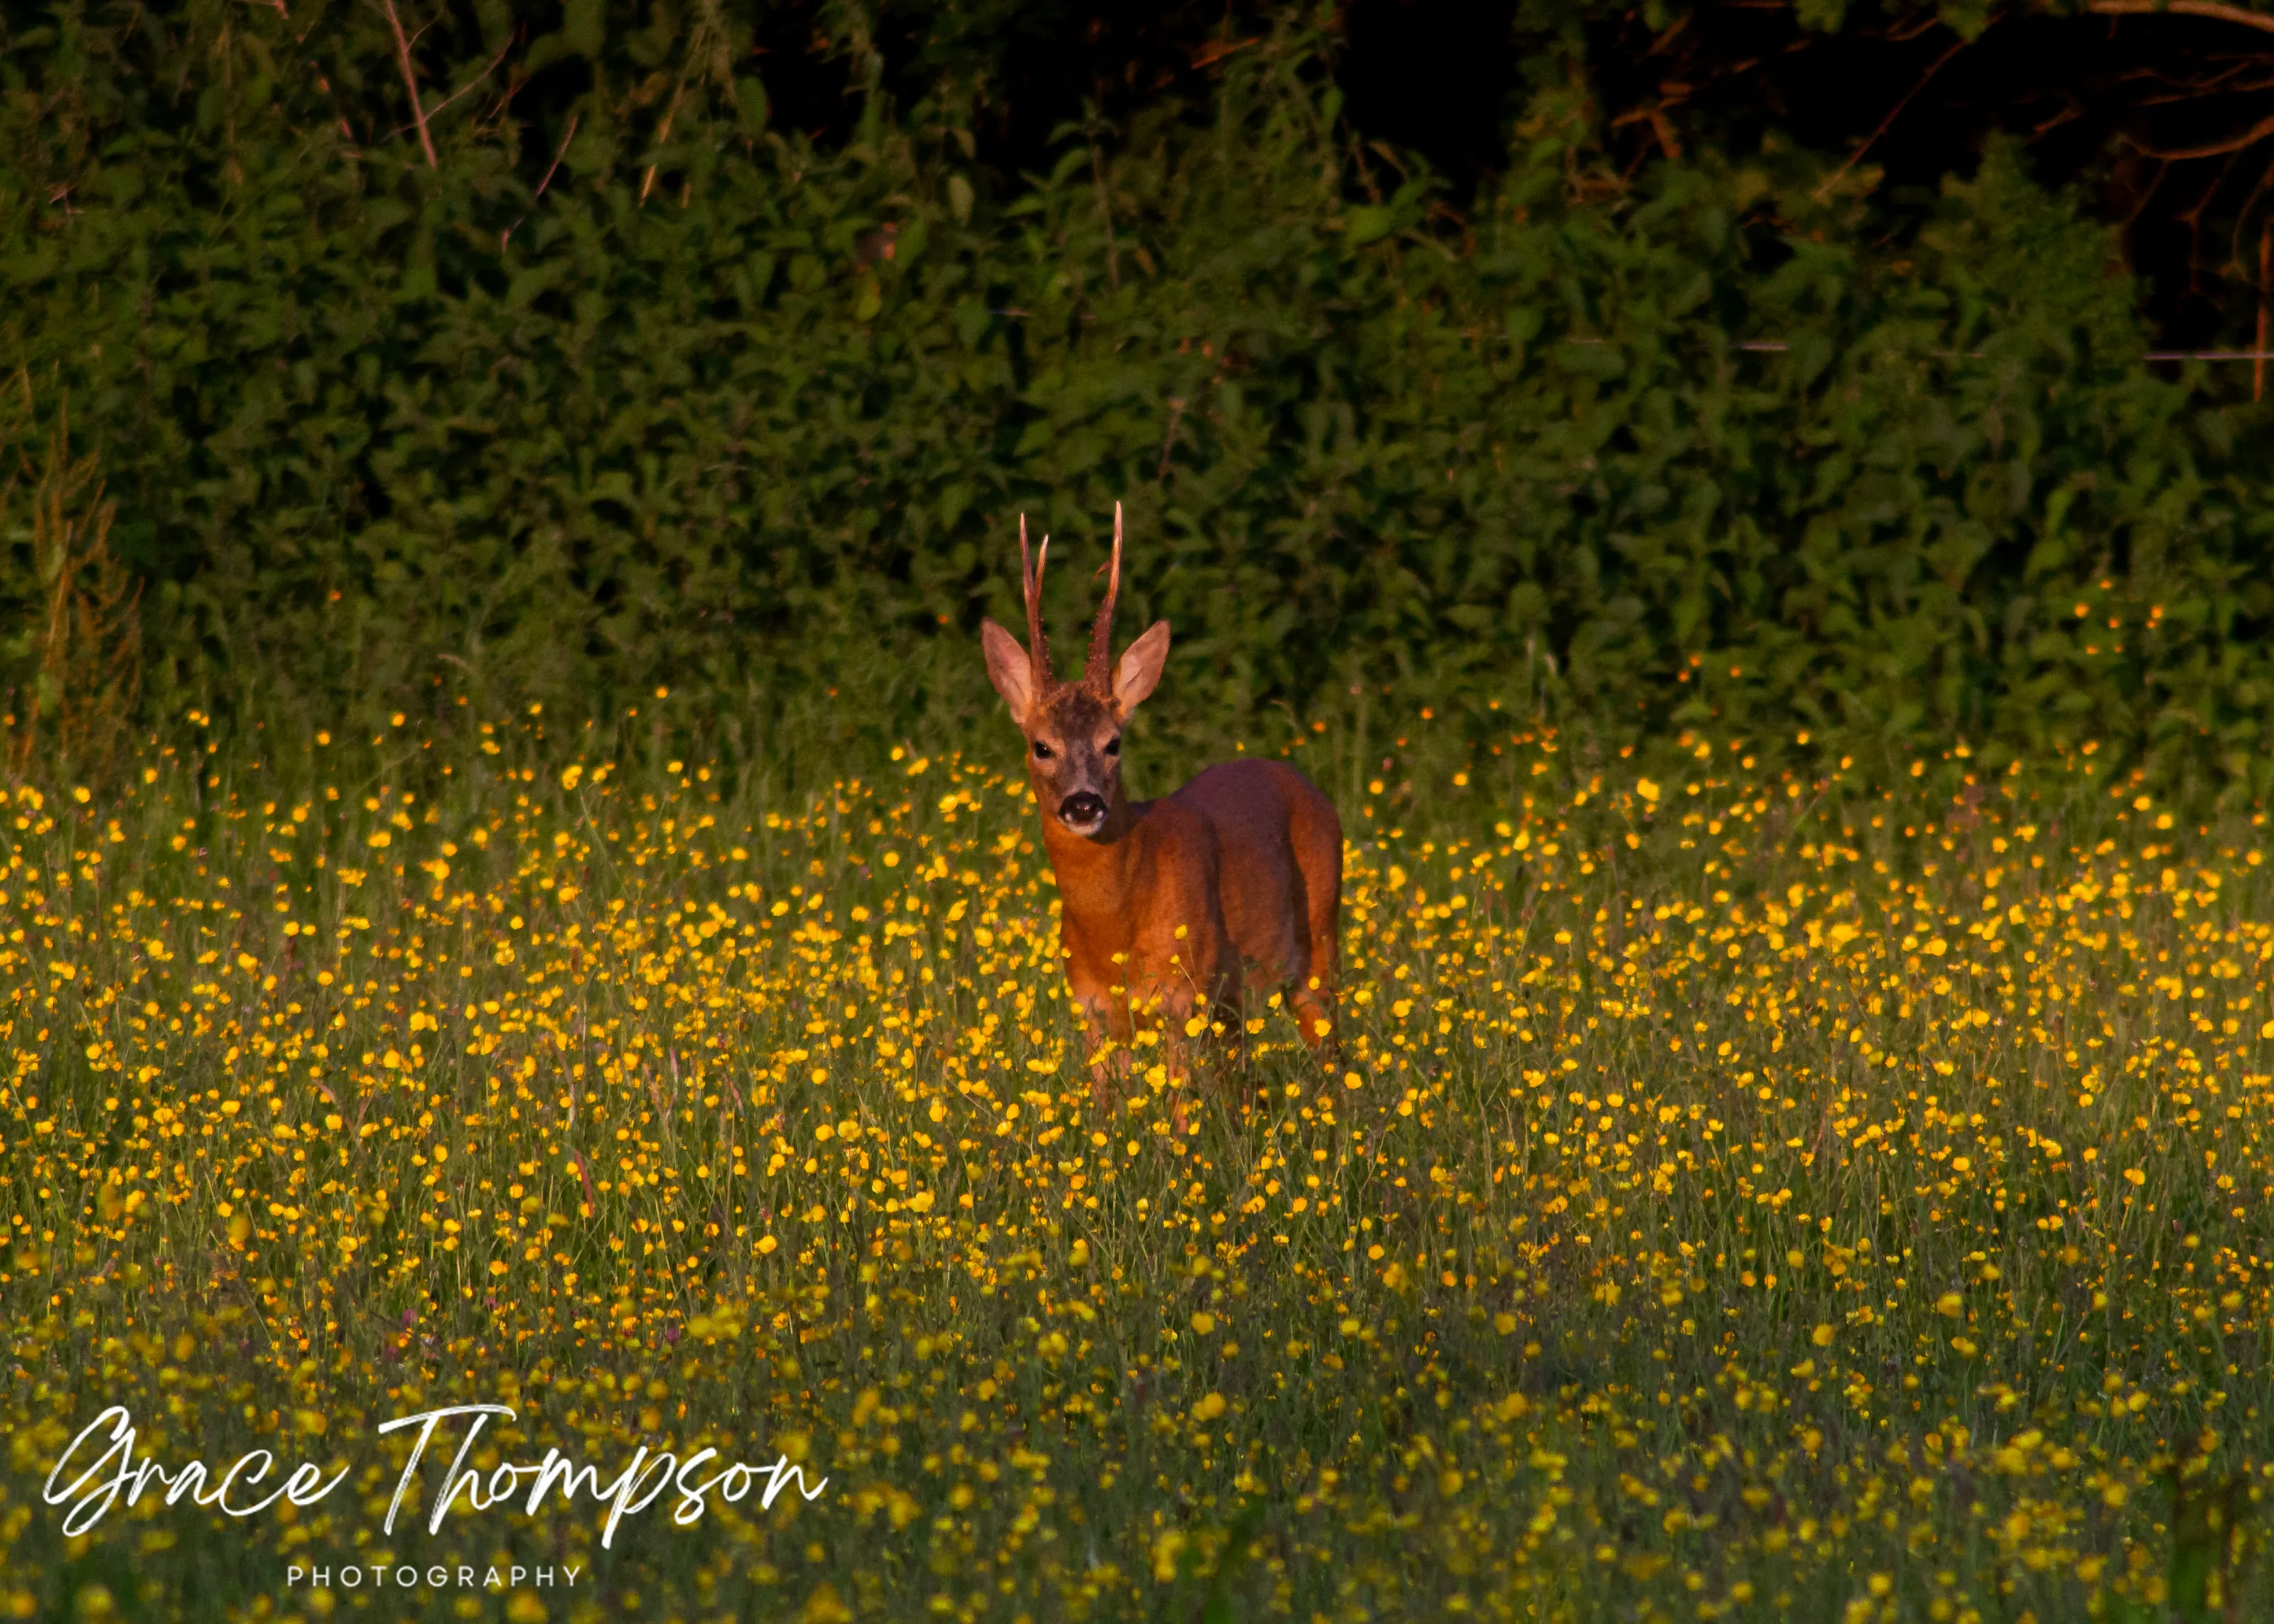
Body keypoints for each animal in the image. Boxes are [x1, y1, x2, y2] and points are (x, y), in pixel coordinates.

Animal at [980, 503, 1342, 1119]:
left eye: (1114, 741)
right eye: (1041, 746)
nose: (1083, 803)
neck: (1117, 928)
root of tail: (1304, 783)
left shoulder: (1182, 996)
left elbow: (1178, 1112)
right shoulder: (1094, 1010)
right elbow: (1104, 1113)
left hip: (1319, 934)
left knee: (1334, 1046)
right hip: (1235, 995)